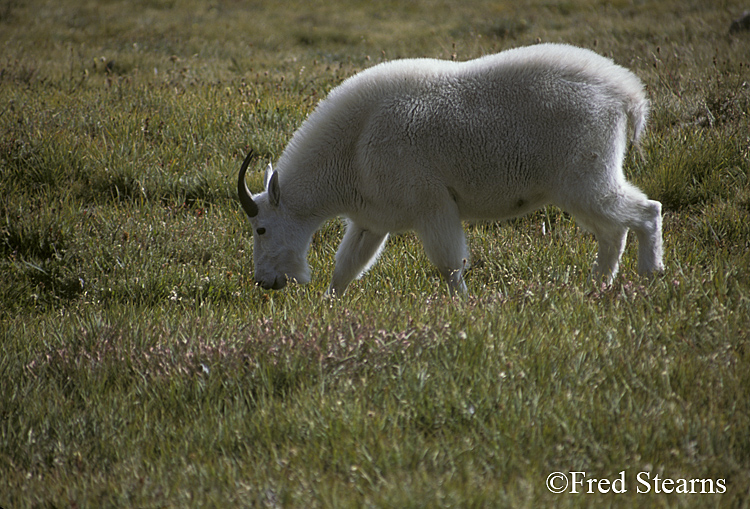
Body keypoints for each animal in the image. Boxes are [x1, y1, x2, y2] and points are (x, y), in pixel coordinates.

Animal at [238, 45, 668, 296]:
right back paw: (598, 286)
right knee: (612, 231)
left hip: (585, 176)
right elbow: (346, 268)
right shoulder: (372, 220)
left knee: (646, 211)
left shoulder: (432, 204)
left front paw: (462, 306)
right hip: (579, 185)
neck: (352, 148)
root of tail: (629, 98)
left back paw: (651, 274)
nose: (264, 282)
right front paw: (330, 306)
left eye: (261, 229)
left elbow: (450, 265)